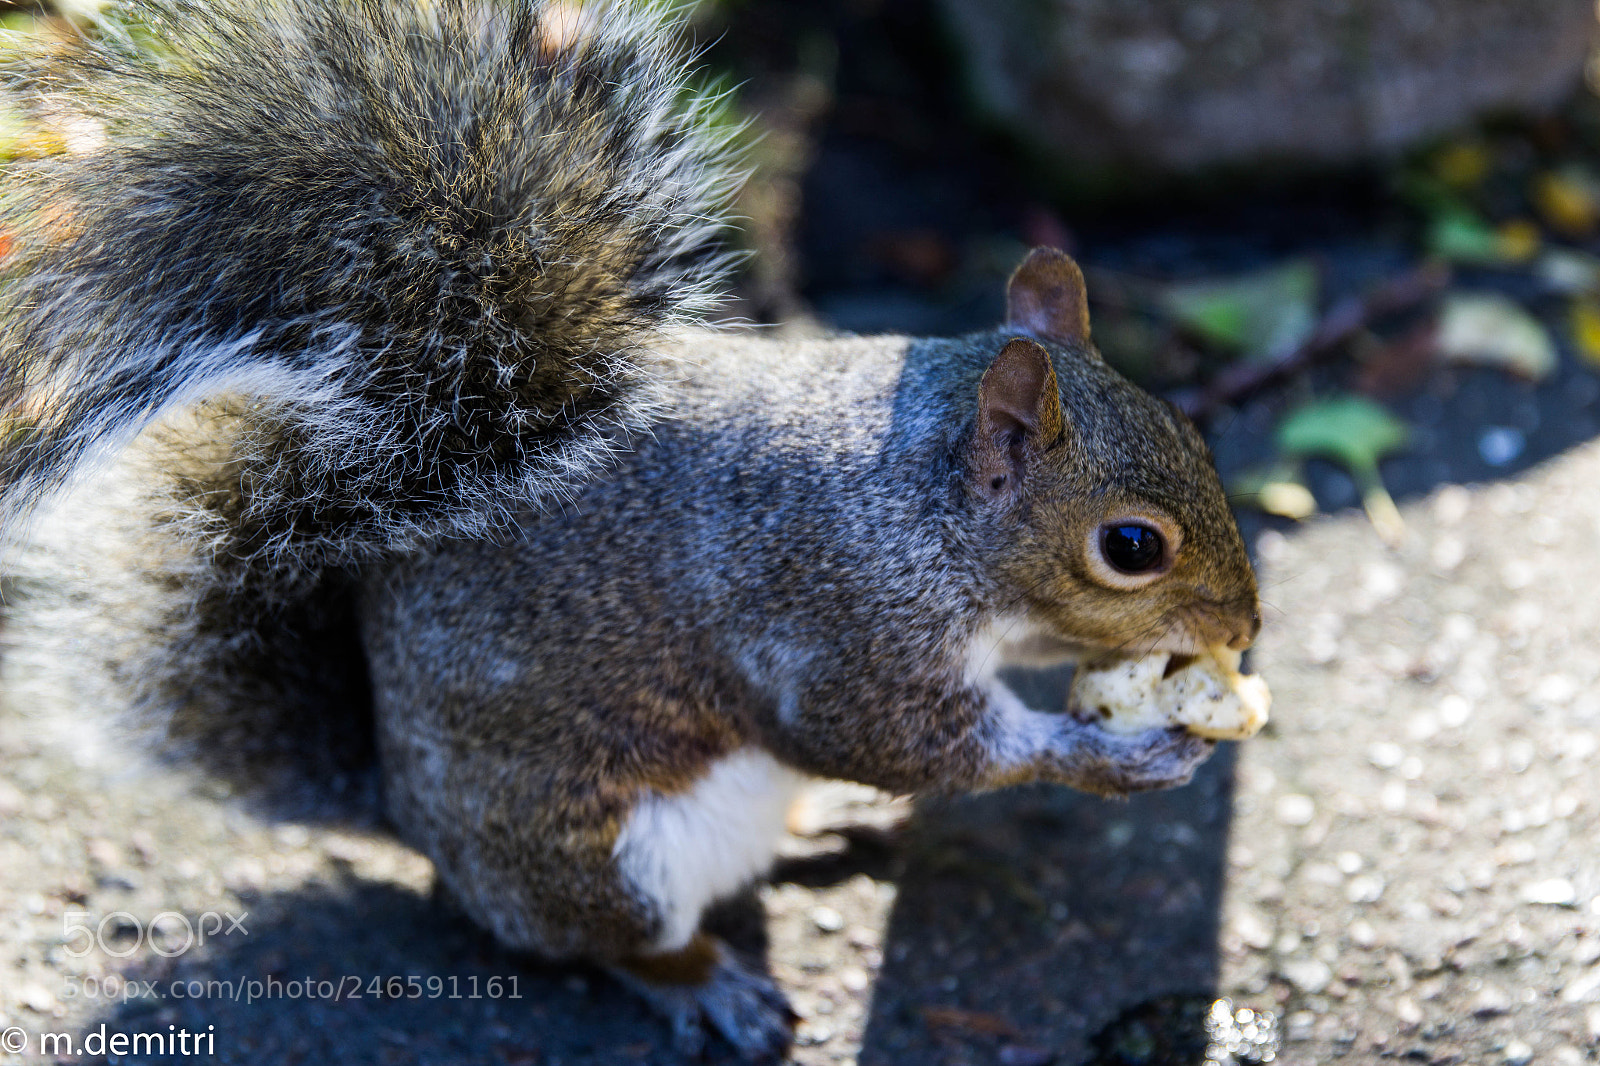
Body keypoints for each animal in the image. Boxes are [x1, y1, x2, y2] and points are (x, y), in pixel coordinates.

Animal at [0, 0, 1261, 1060]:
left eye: (1193, 435)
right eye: (1131, 546)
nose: (1247, 624)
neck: (924, 507)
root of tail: (407, 816)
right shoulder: (837, 625)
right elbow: (904, 741)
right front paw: (1114, 756)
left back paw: (824, 831)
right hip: (598, 855)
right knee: (614, 941)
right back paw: (710, 982)